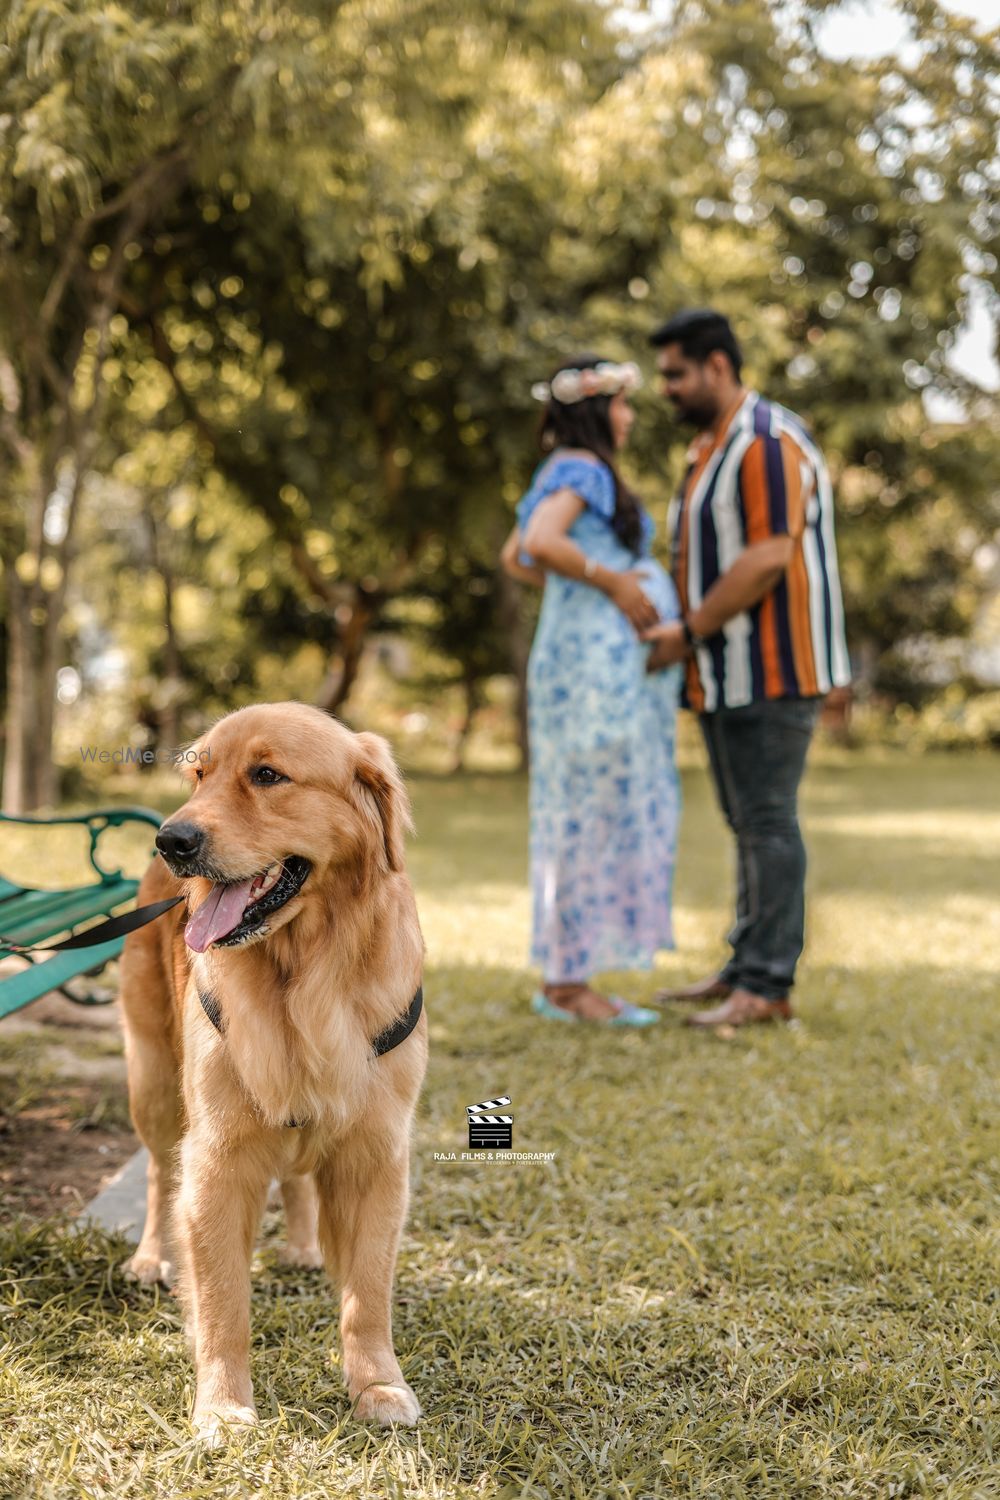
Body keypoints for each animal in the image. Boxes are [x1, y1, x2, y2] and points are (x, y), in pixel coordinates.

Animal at [117, 705, 425, 1440]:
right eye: (199, 776)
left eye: (266, 775)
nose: (173, 839)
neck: (306, 972)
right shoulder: (217, 1159)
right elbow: (224, 1301)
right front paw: (223, 1406)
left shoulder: (377, 1153)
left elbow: (367, 1295)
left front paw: (378, 1385)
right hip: (153, 1082)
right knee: (157, 1173)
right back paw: (150, 1257)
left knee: (300, 1177)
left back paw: (307, 1247)